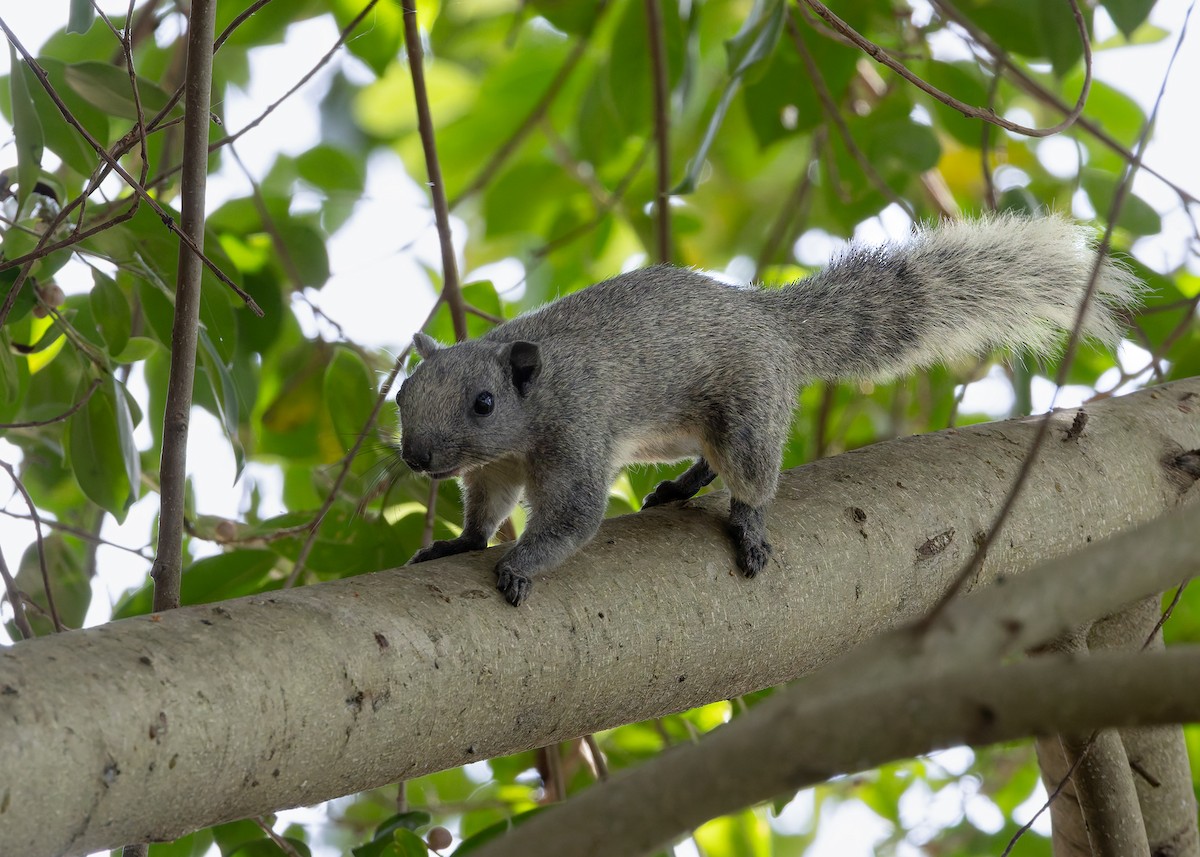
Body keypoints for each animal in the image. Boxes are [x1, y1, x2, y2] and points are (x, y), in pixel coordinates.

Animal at [396, 214, 1140, 606]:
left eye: (484, 402)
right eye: (403, 394)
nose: (416, 456)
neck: (535, 404)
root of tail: (773, 324)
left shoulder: (578, 433)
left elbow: (573, 520)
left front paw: (521, 564)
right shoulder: (498, 465)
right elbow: (486, 503)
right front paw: (462, 541)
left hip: (747, 411)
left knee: (750, 474)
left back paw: (748, 523)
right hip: (681, 429)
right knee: (705, 458)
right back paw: (682, 487)